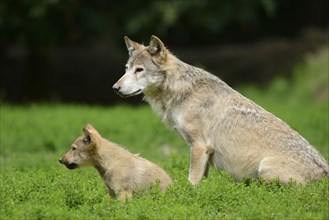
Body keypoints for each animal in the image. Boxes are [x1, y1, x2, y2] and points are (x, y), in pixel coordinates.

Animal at [112, 35, 328, 185]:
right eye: (126, 69)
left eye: (139, 70)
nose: (115, 88)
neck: (181, 91)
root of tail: (325, 173)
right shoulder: (203, 152)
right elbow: (201, 181)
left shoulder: (199, 147)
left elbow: (191, 182)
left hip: (264, 169)